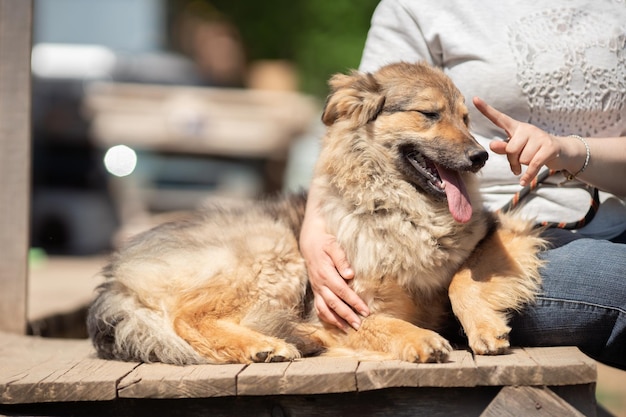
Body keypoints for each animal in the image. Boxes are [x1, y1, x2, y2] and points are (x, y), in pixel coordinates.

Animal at [86, 61, 540, 364]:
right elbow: (376, 323)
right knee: (187, 318)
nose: (481, 156)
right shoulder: (340, 304)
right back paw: (264, 345)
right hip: (274, 254)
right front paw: (419, 338)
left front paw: (483, 327)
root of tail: (116, 277)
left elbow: (461, 281)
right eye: (429, 114)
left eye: (465, 119)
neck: (401, 211)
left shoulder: (499, 231)